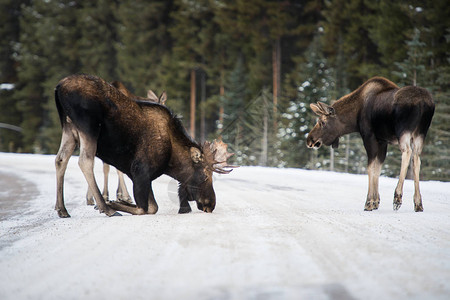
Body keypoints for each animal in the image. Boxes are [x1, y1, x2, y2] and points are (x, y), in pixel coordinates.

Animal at [55, 74, 236, 217]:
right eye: (205, 176)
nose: (211, 204)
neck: (171, 161)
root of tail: (59, 87)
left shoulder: (138, 174)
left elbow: (152, 206)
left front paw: (121, 200)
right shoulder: (140, 171)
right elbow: (145, 208)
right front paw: (115, 202)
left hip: (69, 129)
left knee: (60, 159)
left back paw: (62, 209)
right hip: (88, 127)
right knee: (85, 161)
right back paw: (107, 208)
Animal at [308, 77, 434, 213]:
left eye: (322, 122)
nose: (309, 139)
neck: (354, 118)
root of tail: (423, 103)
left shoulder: (369, 137)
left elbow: (370, 167)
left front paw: (369, 202)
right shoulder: (382, 141)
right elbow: (378, 168)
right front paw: (376, 201)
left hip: (403, 131)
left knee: (407, 152)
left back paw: (397, 198)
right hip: (421, 132)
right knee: (416, 159)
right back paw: (418, 203)